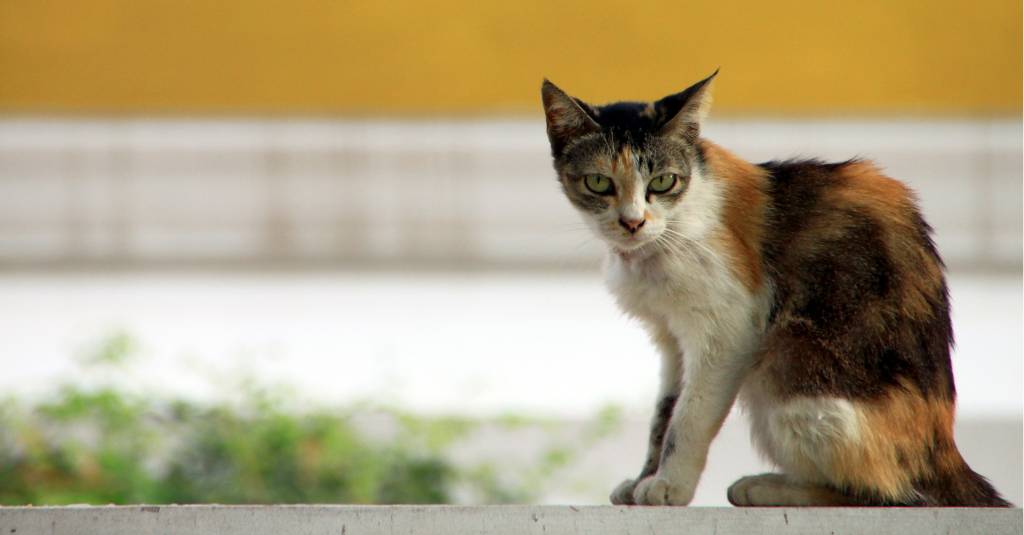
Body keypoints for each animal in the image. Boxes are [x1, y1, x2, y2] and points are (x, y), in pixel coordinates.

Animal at [544, 72, 1007, 506]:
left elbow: (688, 416)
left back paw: (765, 487)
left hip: (786, 359)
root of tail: (945, 455)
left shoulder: (729, 329)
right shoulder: (671, 339)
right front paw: (646, 477)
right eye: (599, 183)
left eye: (662, 182)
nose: (632, 222)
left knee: (891, 494)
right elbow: (664, 413)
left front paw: (669, 486)